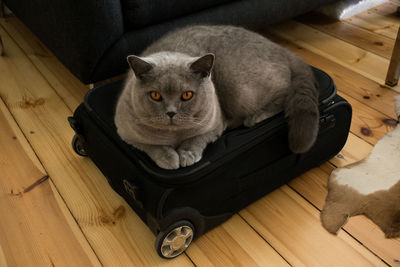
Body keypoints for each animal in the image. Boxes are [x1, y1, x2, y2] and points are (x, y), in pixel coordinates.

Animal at [115, 24, 318, 170]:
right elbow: (152, 146)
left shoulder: (214, 125)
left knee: (284, 93)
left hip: (239, 89)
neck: (175, 135)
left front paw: (186, 155)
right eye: (155, 95)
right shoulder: (126, 133)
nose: (171, 113)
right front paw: (170, 159)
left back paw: (255, 117)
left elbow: (197, 139)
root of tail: (279, 47)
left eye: (187, 95)